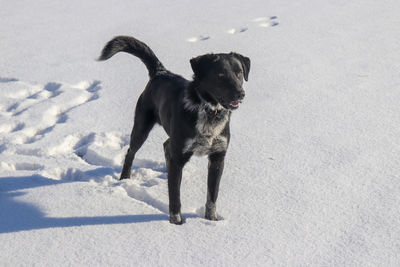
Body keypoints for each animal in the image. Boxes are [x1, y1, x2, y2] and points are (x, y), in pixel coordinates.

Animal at [99, 35, 250, 224]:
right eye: (220, 74)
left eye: (239, 73)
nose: (241, 93)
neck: (208, 111)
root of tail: (160, 72)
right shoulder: (179, 157)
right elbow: (175, 196)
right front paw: (177, 223)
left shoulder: (218, 157)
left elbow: (212, 196)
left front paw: (211, 220)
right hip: (141, 127)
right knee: (131, 152)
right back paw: (125, 178)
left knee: (165, 145)